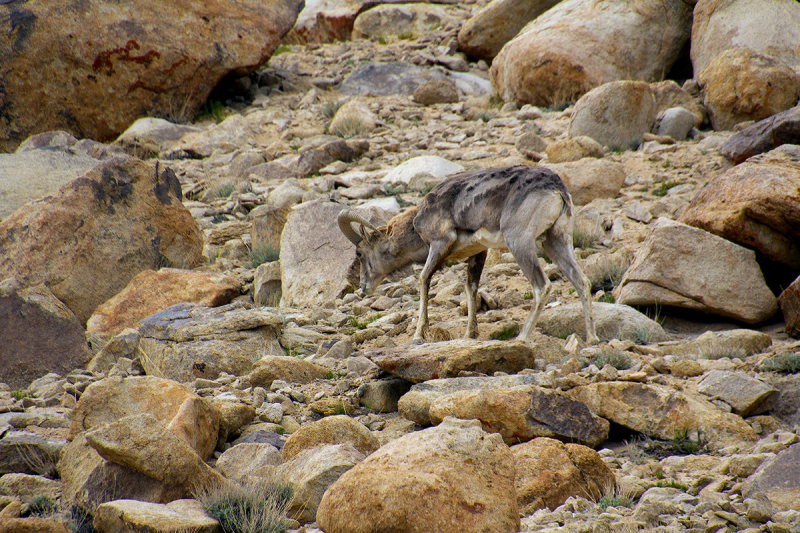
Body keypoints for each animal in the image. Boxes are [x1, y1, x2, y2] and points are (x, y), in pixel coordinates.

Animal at [334, 164, 596, 342]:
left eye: (360, 253)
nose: (363, 288)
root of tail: (557, 190)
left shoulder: (439, 243)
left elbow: (424, 279)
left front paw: (419, 334)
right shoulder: (478, 253)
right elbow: (471, 287)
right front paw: (471, 333)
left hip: (520, 242)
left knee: (542, 286)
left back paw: (522, 337)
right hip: (555, 241)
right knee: (582, 281)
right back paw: (591, 339)